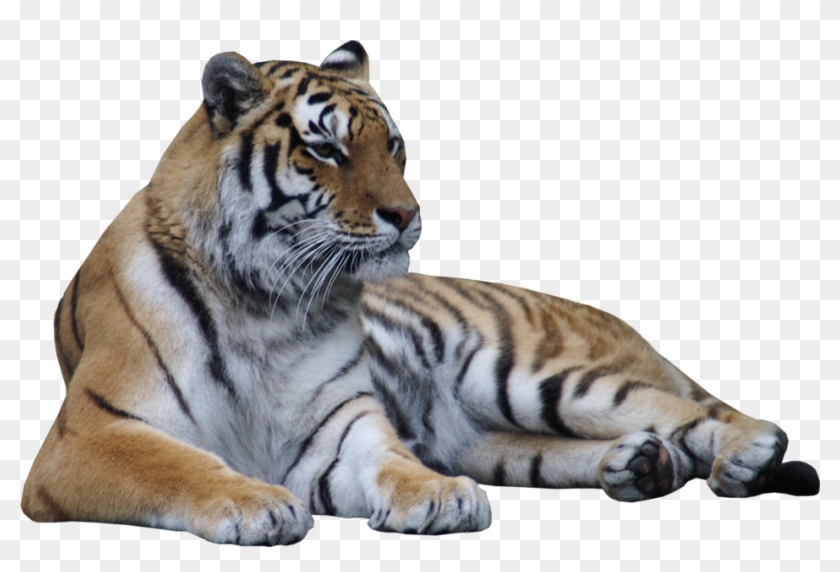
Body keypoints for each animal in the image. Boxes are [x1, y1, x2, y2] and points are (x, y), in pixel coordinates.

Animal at [22, 41, 819, 545]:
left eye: (394, 145)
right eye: (326, 148)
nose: (406, 215)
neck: (266, 305)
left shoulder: (341, 428)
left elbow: (394, 462)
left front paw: (436, 496)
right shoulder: (89, 437)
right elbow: (178, 463)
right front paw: (255, 503)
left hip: (531, 374)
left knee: (688, 408)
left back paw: (746, 451)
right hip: (498, 440)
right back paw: (644, 465)